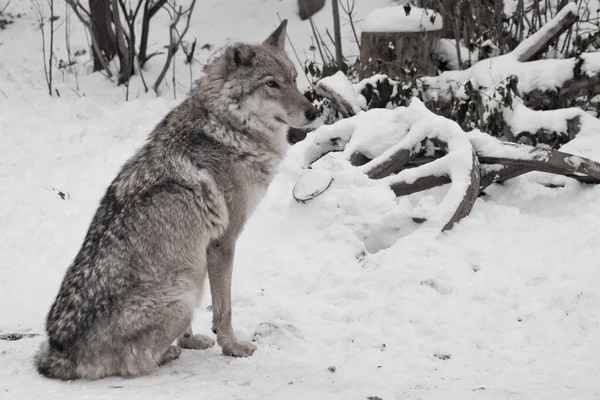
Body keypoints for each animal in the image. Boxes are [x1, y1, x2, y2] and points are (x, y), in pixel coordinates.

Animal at [34, 19, 318, 382]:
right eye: (271, 84)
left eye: (293, 79)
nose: (313, 111)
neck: (229, 128)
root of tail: (58, 352)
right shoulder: (222, 242)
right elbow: (224, 309)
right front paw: (232, 347)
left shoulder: (202, 252)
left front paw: (192, 340)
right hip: (184, 293)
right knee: (135, 363)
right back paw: (167, 354)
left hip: (189, 281)